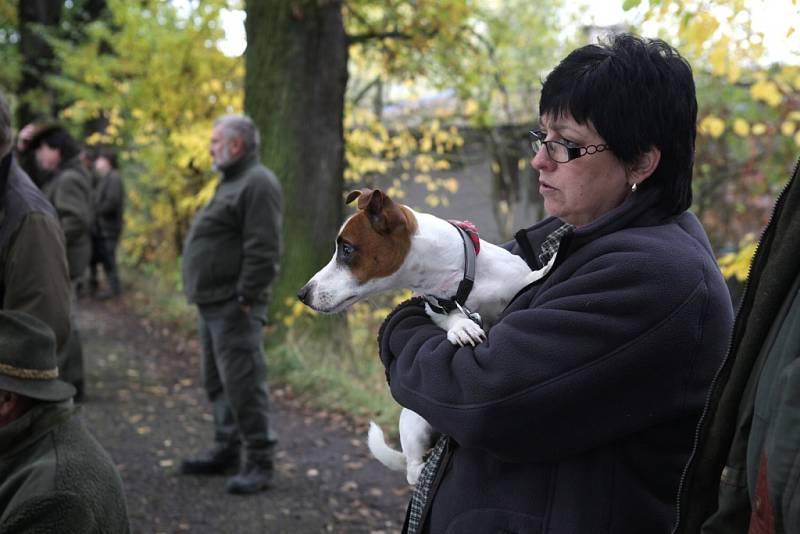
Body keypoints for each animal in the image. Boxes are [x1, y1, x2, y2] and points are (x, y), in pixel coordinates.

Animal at [296, 188, 552, 486]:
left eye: (347, 250)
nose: (303, 294)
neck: (457, 283)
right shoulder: (435, 307)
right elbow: (451, 317)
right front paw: (461, 327)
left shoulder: (511, 278)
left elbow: (528, 279)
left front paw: (546, 267)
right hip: (416, 422)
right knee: (411, 469)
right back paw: (421, 468)